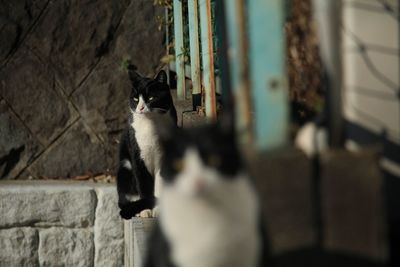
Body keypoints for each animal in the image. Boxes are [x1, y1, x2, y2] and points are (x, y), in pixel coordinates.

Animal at [116, 66, 177, 221]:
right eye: (136, 99)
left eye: (151, 98)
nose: (141, 108)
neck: (151, 124)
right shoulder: (137, 156)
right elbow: (143, 184)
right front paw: (145, 210)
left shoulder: (164, 157)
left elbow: (160, 185)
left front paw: (159, 210)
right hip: (125, 169)